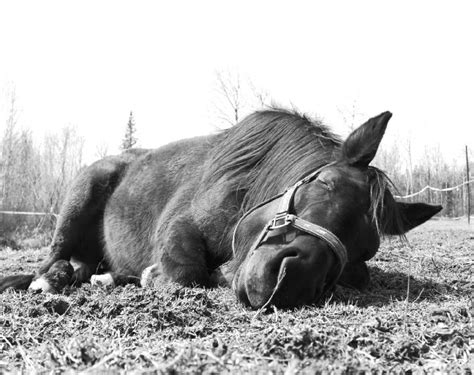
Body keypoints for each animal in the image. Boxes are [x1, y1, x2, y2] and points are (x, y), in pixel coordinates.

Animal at [0, 108, 440, 308]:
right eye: (325, 183)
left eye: (365, 248)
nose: (291, 279)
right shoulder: (179, 228)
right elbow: (187, 272)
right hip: (80, 196)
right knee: (52, 259)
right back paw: (50, 280)